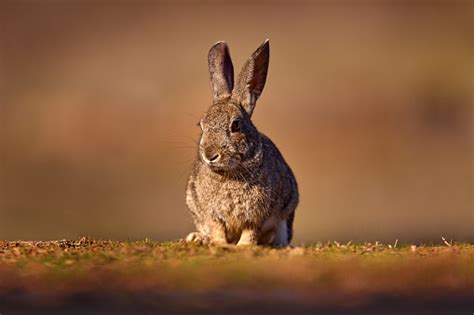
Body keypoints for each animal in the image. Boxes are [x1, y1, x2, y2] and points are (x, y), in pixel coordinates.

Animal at [186, 39, 300, 247]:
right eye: (201, 125)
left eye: (236, 125)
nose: (210, 155)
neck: (229, 174)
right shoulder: (212, 214)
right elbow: (217, 229)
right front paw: (218, 243)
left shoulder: (257, 216)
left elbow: (251, 231)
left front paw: (244, 246)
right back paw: (198, 238)